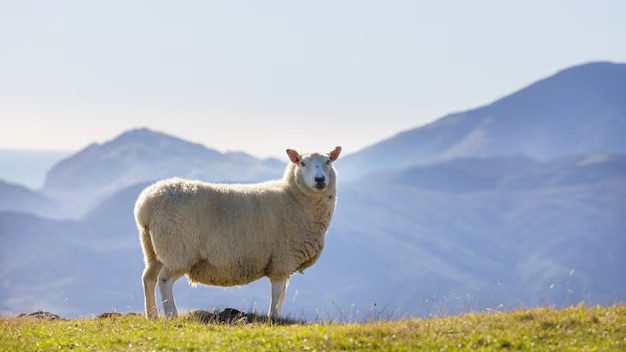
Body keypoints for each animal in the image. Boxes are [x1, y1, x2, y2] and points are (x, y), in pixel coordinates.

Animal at [134, 146, 342, 320]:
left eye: (328, 161)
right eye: (302, 162)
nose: (320, 180)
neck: (293, 197)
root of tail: (145, 206)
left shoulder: (284, 262)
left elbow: (282, 294)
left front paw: (278, 316)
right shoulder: (282, 259)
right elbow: (277, 293)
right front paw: (273, 318)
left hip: (154, 249)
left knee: (148, 278)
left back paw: (152, 315)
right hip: (176, 250)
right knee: (164, 280)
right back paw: (171, 315)